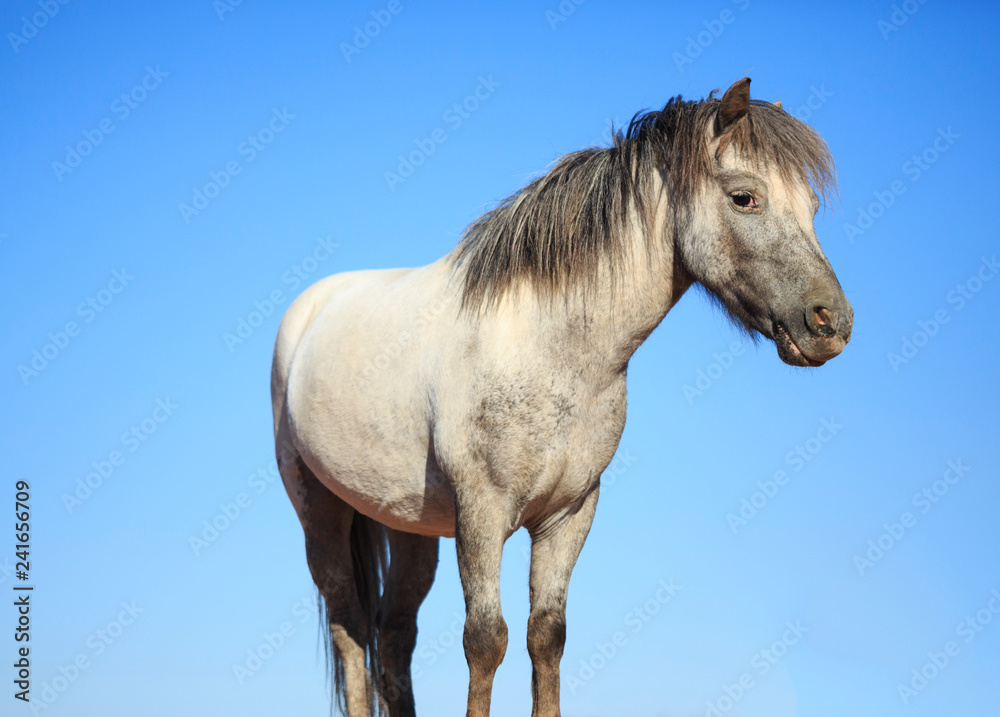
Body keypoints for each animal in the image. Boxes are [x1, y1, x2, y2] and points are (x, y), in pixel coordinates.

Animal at [270, 77, 853, 717]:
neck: (551, 347)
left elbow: (546, 636)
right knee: (351, 629)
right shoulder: (482, 515)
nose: (831, 323)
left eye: (813, 206)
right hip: (321, 513)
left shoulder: (567, 516)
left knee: (394, 635)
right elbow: (486, 640)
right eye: (745, 197)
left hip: (406, 521)